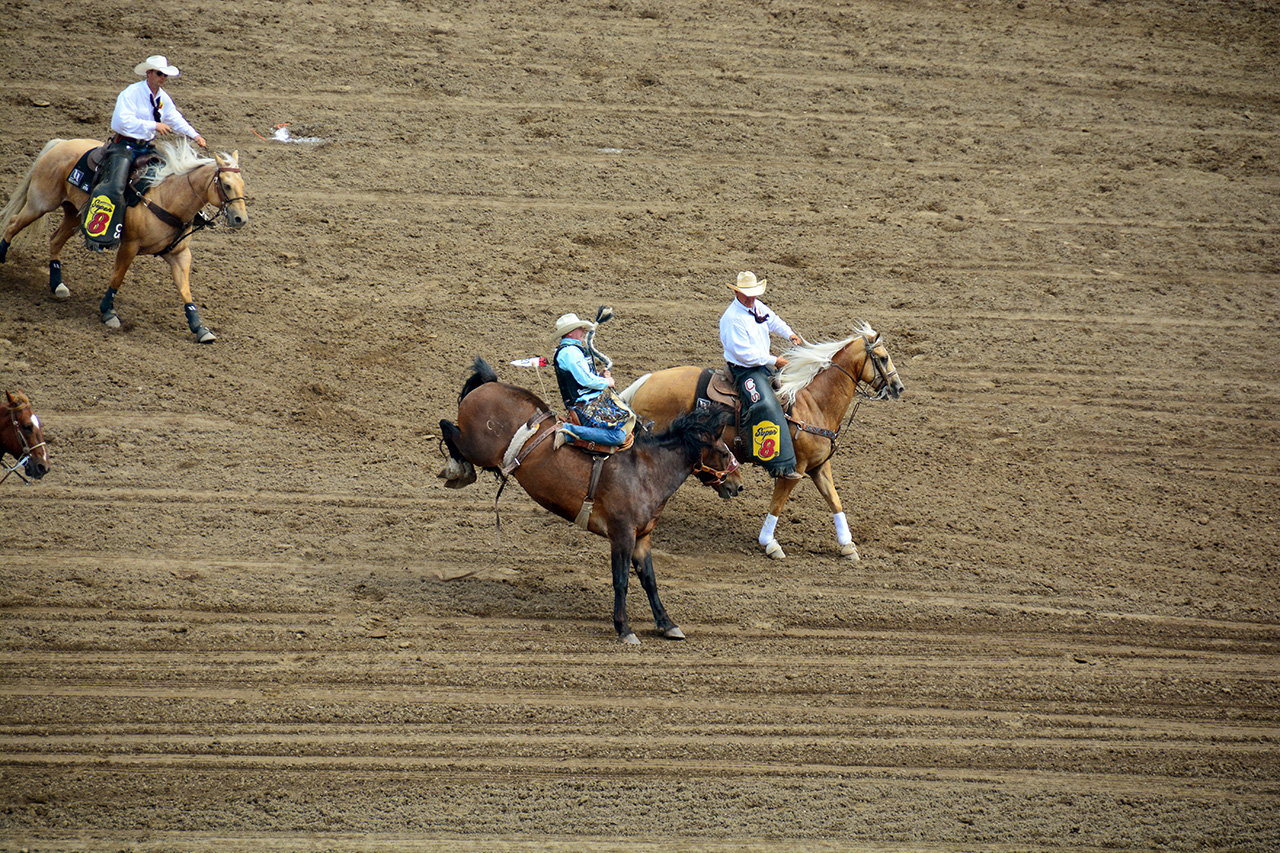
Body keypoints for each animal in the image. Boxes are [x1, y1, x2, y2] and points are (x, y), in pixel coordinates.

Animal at [0, 137, 247, 340]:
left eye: (242, 184)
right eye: (226, 185)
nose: (240, 219)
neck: (167, 197)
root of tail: (61, 143)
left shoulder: (179, 254)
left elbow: (185, 290)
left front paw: (200, 328)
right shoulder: (129, 246)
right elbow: (117, 278)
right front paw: (108, 312)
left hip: (73, 214)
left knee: (54, 240)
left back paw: (58, 285)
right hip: (40, 203)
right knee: (12, 224)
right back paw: (3, 260)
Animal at [440, 356, 742, 640]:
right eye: (723, 453)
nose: (738, 485)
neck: (645, 470)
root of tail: (491, 384)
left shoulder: (642, 538)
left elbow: (649, 580)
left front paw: (667, 624)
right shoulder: (622, 535)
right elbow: (621, 580)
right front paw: (624, 628)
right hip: (477, 446)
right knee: (447, 427)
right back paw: (458, 470)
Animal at [622, 318, 906, 558]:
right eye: (883, 358)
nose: (899, 388)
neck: (814, 403)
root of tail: (645, 382)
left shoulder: (819, 466)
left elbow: (834, 500)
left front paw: (848, 546)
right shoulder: (793, 470)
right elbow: (777, 505)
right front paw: (770, 543)